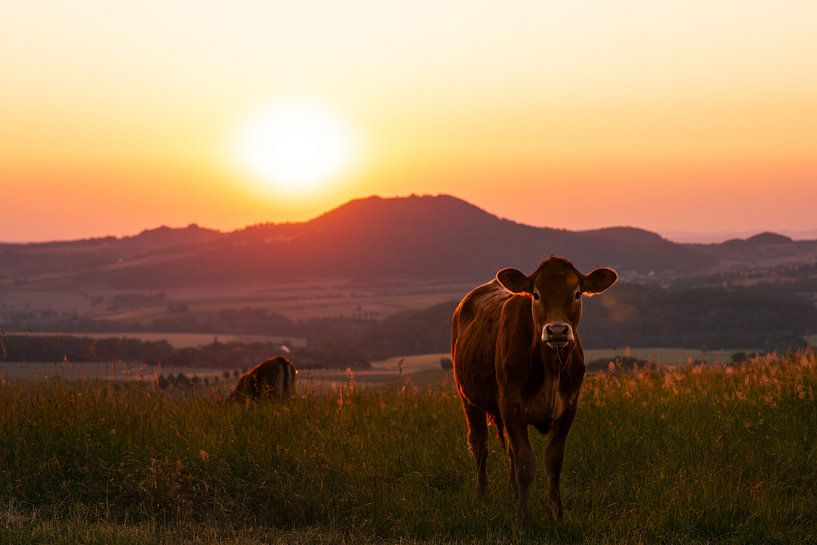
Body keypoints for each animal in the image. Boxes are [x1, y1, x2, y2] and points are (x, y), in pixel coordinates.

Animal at [451, 256, 617, 520]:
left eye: (577, 294)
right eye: (536, 295)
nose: (557, 330)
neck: (550, 366)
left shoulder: (569, 407)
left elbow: (553, 461)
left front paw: (556, 512)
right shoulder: (512, 406)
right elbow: (525, 464)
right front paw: (523, 517)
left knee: (508, 449)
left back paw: (511, 494)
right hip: (468, 397)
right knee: (480, 445)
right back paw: (483, 496)